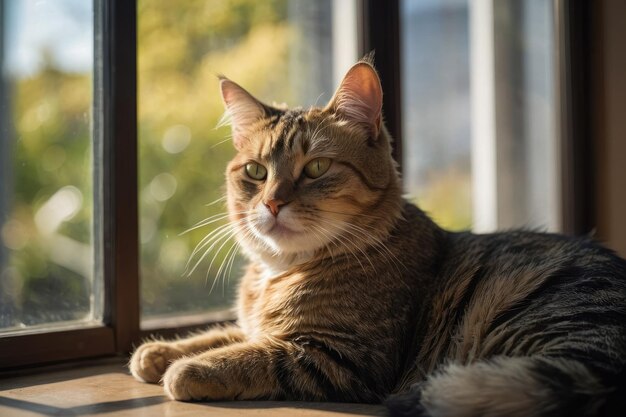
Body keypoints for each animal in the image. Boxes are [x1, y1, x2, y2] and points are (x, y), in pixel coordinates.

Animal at [130, 56, 624, 416]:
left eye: (316, 168)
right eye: (255, 171)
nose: (271, 203)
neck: (281, 272)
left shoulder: (338, 357)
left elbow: (250, 355)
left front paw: (184, 369)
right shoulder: (260, 327)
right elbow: (225, 332)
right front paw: (159, 352)